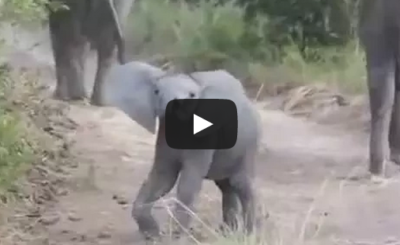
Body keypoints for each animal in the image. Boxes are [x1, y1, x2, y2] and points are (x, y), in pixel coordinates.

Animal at [102, 60, 262, 239]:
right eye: (157, 92)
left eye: (192, 95)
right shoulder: (164, 132)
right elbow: (163, 178)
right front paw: (153, 235)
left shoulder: (205, 137)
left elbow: (188, 184)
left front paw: (176, 238)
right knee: (226, 186)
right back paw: (227, 234)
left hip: (250, 142)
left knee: (240, 183)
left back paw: (248, 236)